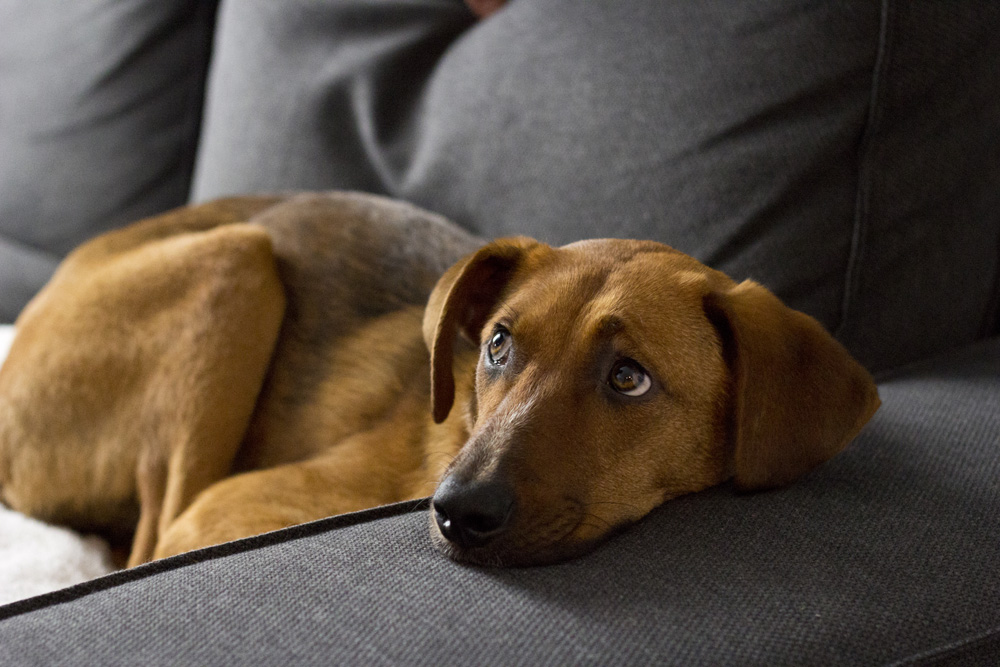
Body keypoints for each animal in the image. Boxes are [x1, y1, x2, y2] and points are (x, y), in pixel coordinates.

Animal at [0, 192, 876, 568]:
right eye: (497, 345)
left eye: (630, 378)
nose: (457, 511)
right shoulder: (221, 510)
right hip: (236, 263)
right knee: (146, 538)